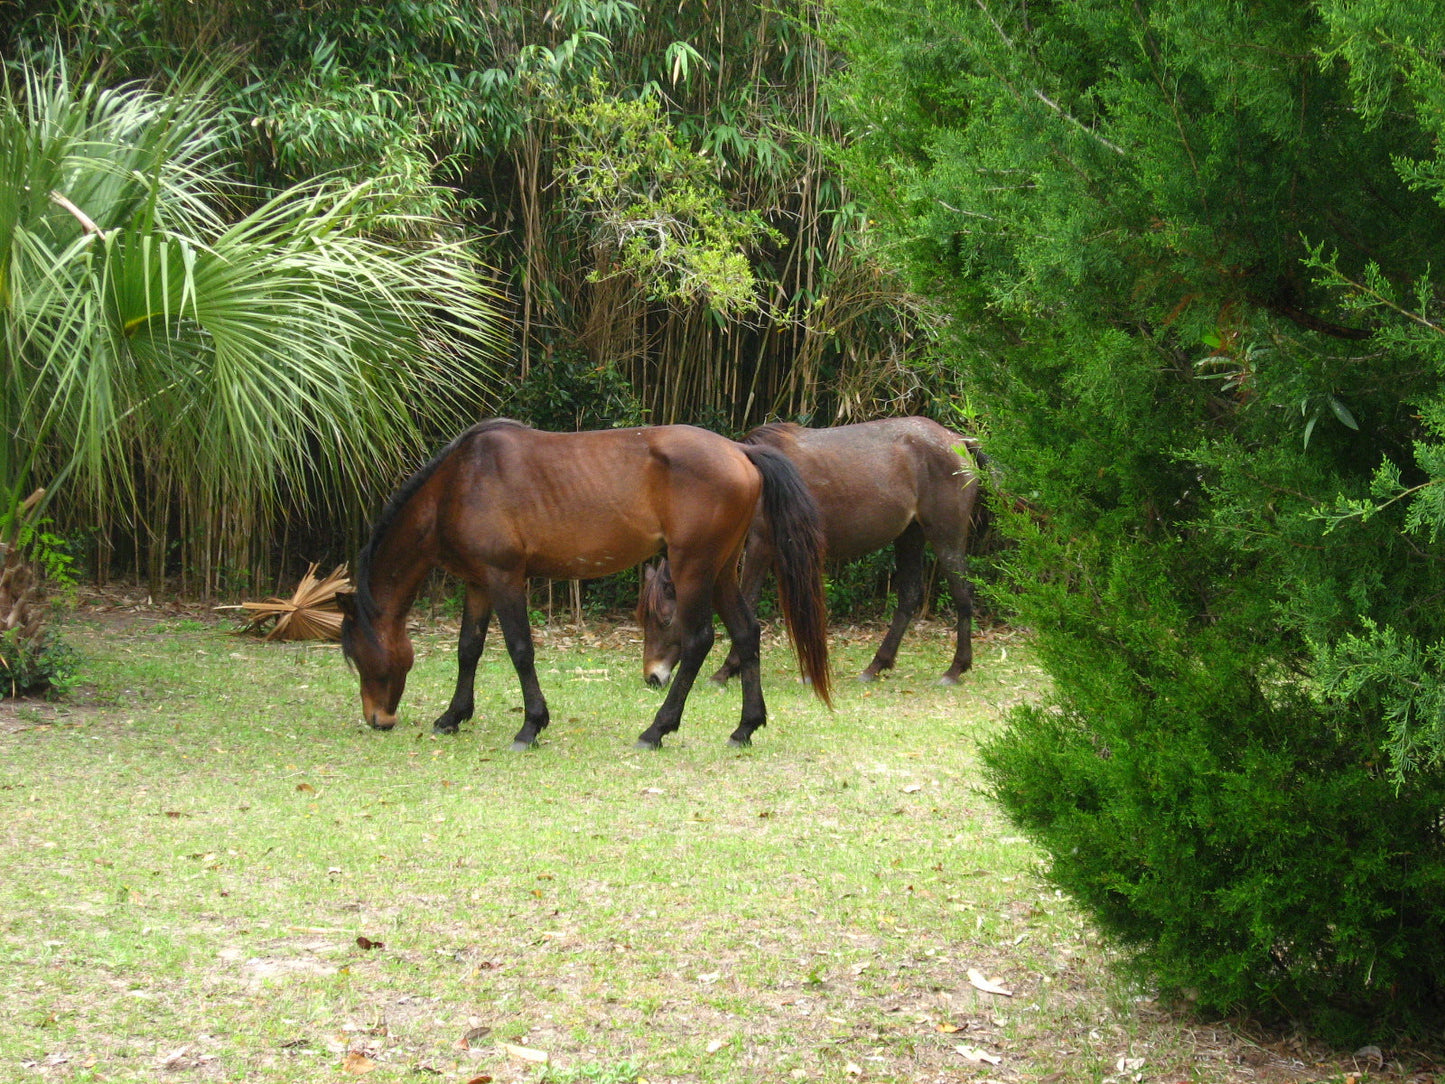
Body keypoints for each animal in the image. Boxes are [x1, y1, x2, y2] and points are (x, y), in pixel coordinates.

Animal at [338, 419, 832, 751]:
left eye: (360, 656)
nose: (378, 718)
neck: (458, 485)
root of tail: (739, 451)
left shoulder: (505, 578)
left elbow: (519, 648)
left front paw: (531, 726)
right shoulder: (479, 583)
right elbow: (468, 649)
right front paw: (453, 716)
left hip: (694, 568)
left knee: (698, 641)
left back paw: (657, 729)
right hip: (721, 570)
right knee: (746, 634)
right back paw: (745, 727)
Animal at [641, 416, 988, 687]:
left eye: (664, 619)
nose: (653, 677)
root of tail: (958, 440)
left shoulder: (761, 545)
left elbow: (748, 602)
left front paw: (727, 670)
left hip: (945, 535)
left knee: (962, 594)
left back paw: (955, 670)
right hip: (910, 536)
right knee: (910, 596)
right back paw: (876, 666)